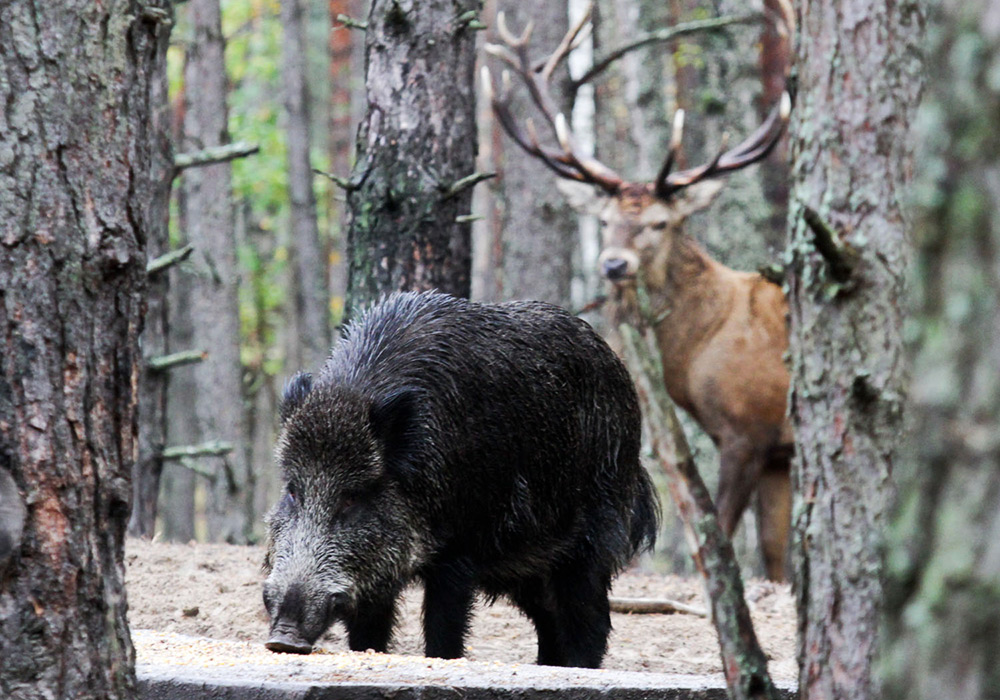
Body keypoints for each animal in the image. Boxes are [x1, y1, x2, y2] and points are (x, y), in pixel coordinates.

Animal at [486, 10, 796, 580]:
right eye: (606, 220)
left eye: (659, 222)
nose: (614, 264)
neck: (701, 349)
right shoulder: (777, 453)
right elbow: (774, 556)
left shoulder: (748, 427)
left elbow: (717, 532)